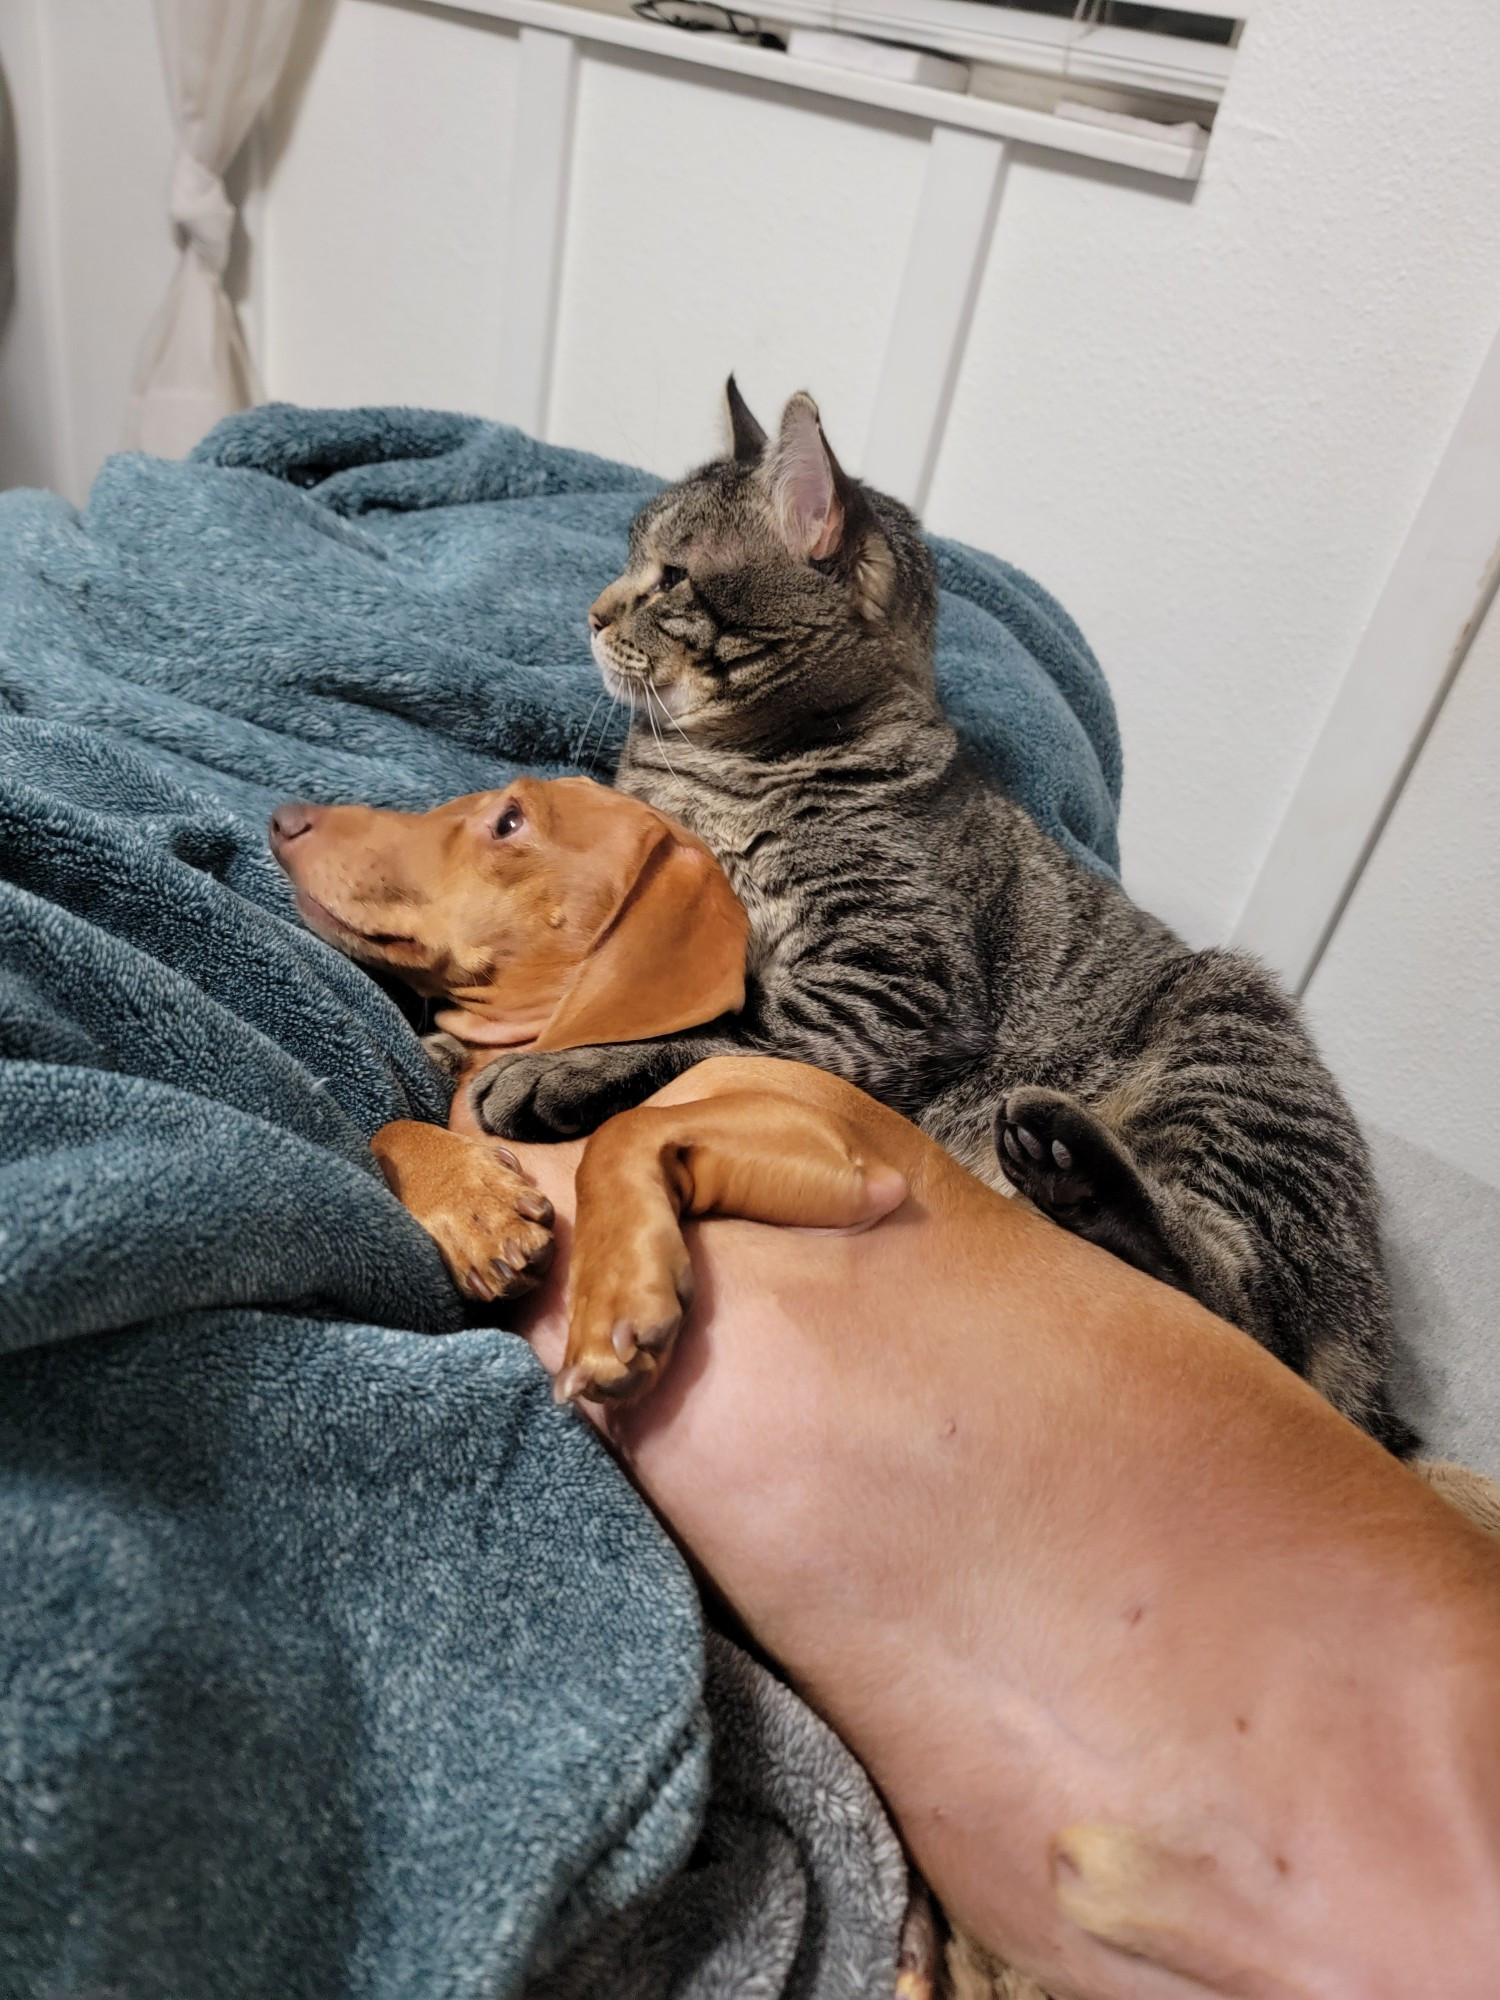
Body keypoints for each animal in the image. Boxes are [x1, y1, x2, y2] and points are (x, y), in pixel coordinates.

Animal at [476, 378, 1416, 1456]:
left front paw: (555, 1064)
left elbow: (709, 1022)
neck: (732, 763)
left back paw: (1077, 1166)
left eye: (669, 577)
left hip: (1233, 1048)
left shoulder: (890, 983)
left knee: (1234, 1306)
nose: (591, 614)